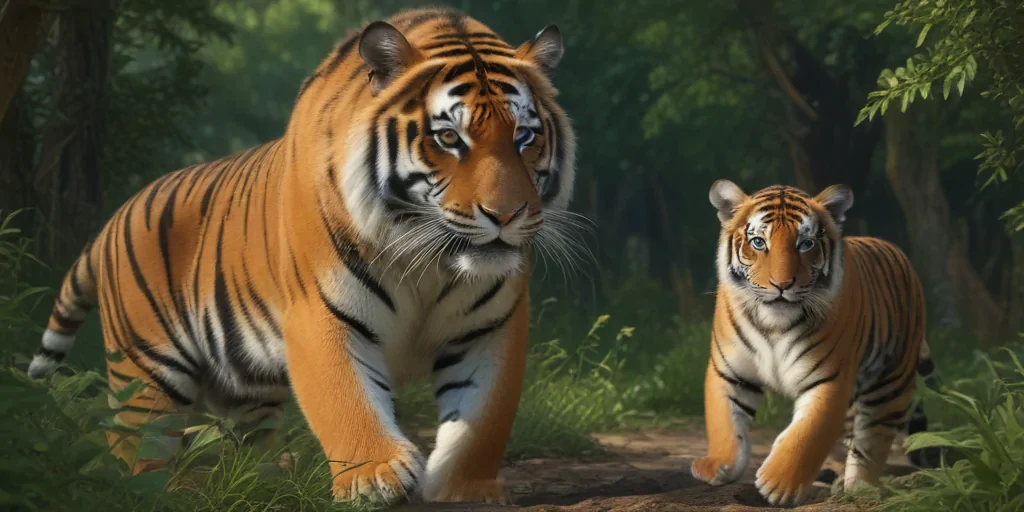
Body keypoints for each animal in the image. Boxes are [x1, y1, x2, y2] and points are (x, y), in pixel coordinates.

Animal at [26, 7, 576, 505]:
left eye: (525, 136)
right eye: (448, 138)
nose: (506, 215)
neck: (428, 260)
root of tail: (114, 219)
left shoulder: (491, 327)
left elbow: (482, 418)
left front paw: (465, 488)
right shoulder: (321, 312)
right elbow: (345, 399)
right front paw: (376, 477)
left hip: (248, 391)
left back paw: (259, 483)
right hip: (146, 376)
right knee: (133, 447)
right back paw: (149, 492)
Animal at [690, 180, 936, 506]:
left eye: (805, 244)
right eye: (758, 243)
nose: (782, 285)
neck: (773, 325)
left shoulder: (829, 379)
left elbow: (807, 434)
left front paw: (778, 485)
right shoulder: (729, 372)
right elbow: (725, 424)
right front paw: (718, 467)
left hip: (890, 383)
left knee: (872, 438)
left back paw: (860, 486)